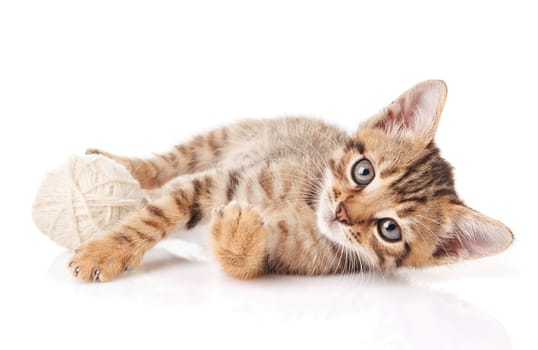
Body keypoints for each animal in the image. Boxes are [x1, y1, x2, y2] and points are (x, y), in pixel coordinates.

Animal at [70, 80, 510, 282]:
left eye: (390, 229)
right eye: (363, 171)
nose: (341, 213)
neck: (304, 208)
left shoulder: (283, 259)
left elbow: (243, 264)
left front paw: (237, 233)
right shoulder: (224, 181)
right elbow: (156, 215)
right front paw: (102, 253)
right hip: (221, 139)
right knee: (163, 166)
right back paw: (117, 165)